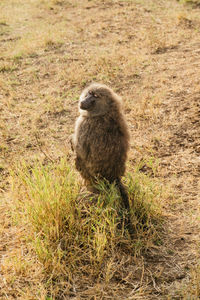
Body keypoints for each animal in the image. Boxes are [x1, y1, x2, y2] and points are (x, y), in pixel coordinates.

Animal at [71, 82, 130, 211]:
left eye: (96, 96)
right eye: (89, 93)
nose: (83, 102)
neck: (106, 112)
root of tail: (113, 178)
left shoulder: (83, 124)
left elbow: (80, 150)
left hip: (88, 175)